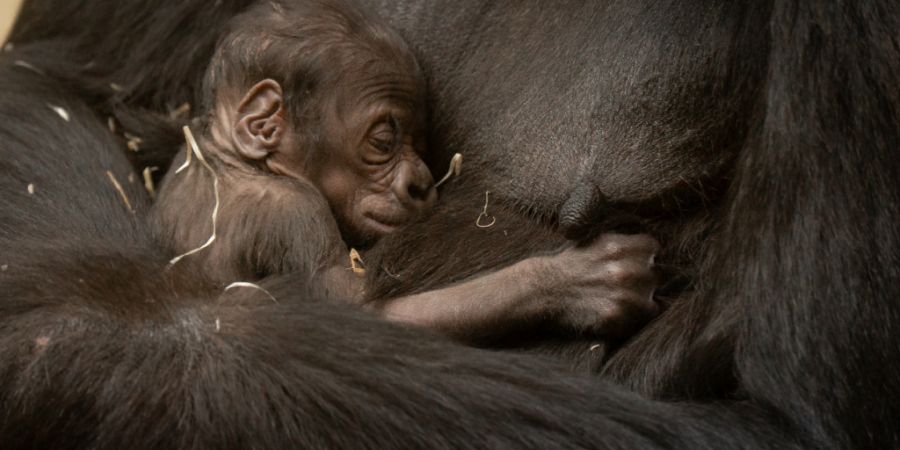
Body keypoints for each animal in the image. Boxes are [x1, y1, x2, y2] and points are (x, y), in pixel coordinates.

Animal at [150, 0, 661, 343]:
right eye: (383, 141)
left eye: (420, 143)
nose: (420, 185)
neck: (230, 159)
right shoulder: (292, 212)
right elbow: (354, 308)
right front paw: (567, 283)